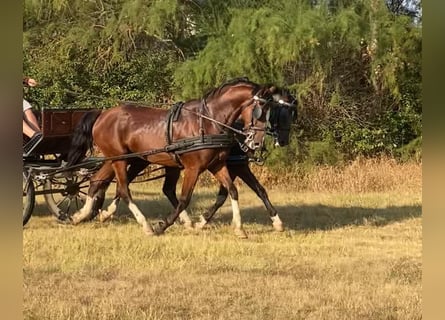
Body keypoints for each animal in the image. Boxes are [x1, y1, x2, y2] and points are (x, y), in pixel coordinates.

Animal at [66, 78, 278, 238]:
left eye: (270, 111)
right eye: (260, 108)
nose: (257, 142)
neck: (207, 122)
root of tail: (102, 114)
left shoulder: (217, 165)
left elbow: (232, 191)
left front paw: (239, 228)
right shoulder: (193, 168)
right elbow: (184, 198)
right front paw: (163, 225)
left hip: (119, 159)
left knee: (96, 181)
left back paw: (81, 215)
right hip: (120, 159)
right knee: (124, 189)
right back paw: (146, 225)